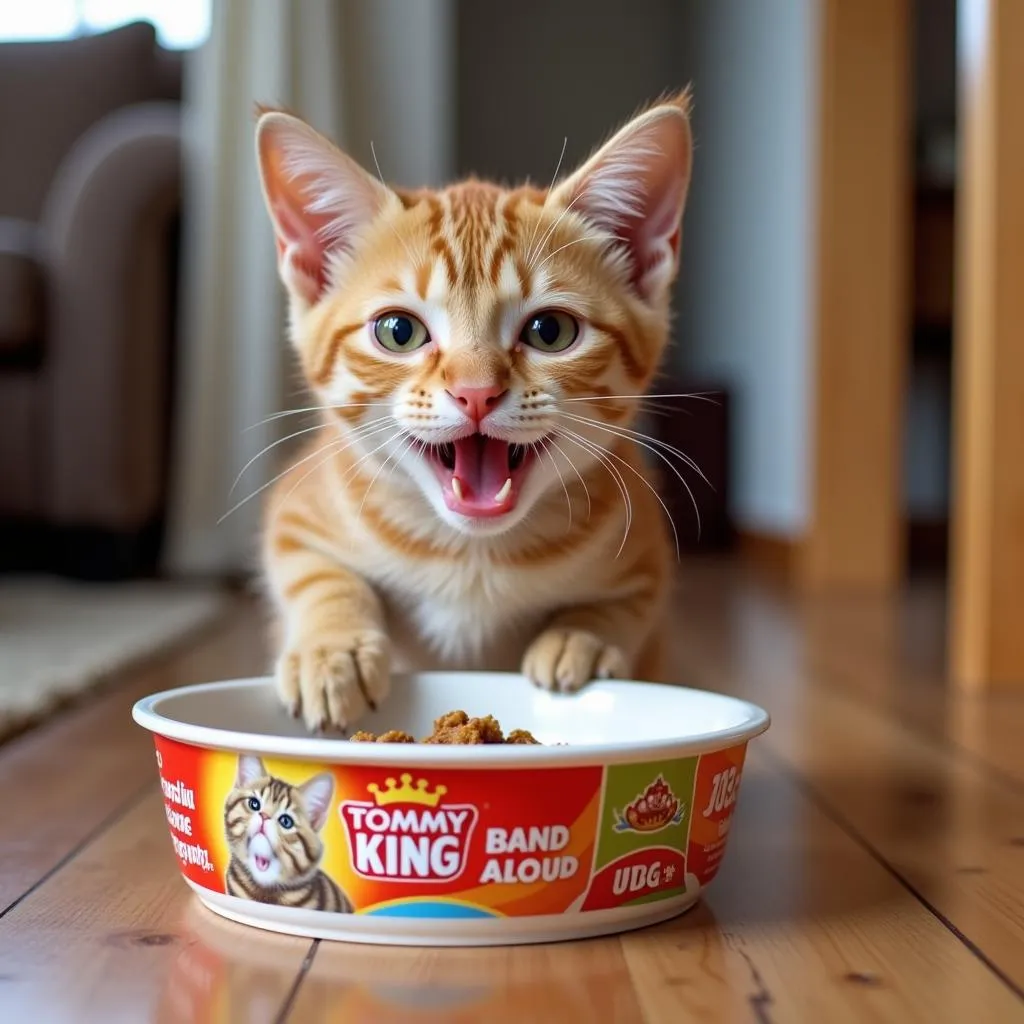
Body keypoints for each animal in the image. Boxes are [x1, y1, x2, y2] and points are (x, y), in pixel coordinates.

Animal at [251, 88, 692, 729]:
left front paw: (582, 637)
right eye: (398, 331)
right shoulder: (298, 510)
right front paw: (332, 648)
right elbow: (315, 572)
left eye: (551, 331)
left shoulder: (647, 553)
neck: (472, 556)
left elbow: (629, 604)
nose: (476, 391)